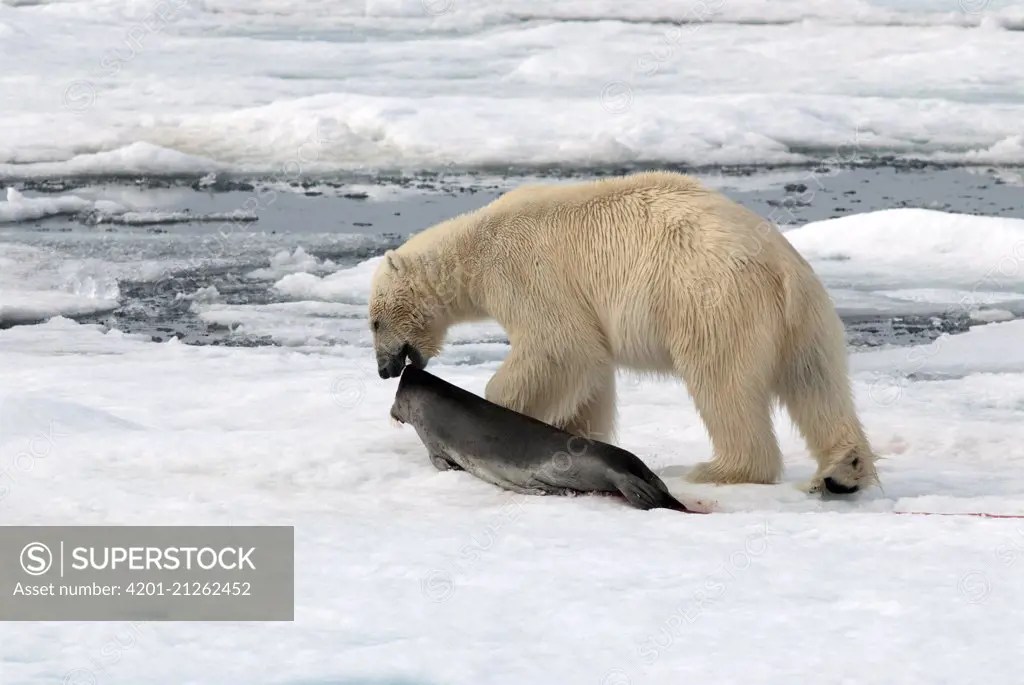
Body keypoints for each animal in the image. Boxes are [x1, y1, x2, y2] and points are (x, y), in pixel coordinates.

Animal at [368, 171, 879, 493]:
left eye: (373, 321)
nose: (383, 369)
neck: (473, 246)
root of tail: (779, 265)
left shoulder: (524, 271)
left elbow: (560, 347)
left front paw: (498, 410)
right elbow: (590, 370)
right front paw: (574, 434)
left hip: (711, 300)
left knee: (723, 383)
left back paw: (720, 468)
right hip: (807, 315)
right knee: (816, 380)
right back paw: (842, 472)